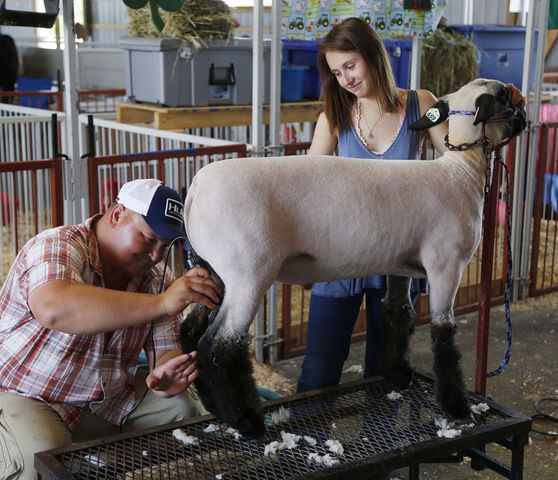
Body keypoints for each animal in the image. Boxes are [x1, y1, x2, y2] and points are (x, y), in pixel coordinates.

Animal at [180, 79, 528, 438]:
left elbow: (397, 313)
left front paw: (398, 372)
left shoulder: (400, 266)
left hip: (215, 272)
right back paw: (245, 420)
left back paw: (214, 404)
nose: (524, 115)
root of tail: (195, 190)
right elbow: (444, 335)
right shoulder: (447, 265)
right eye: (505, 98)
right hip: (248, 272)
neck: (460, 171)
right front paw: (457, 407)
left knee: (191, 331)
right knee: (219, 346)